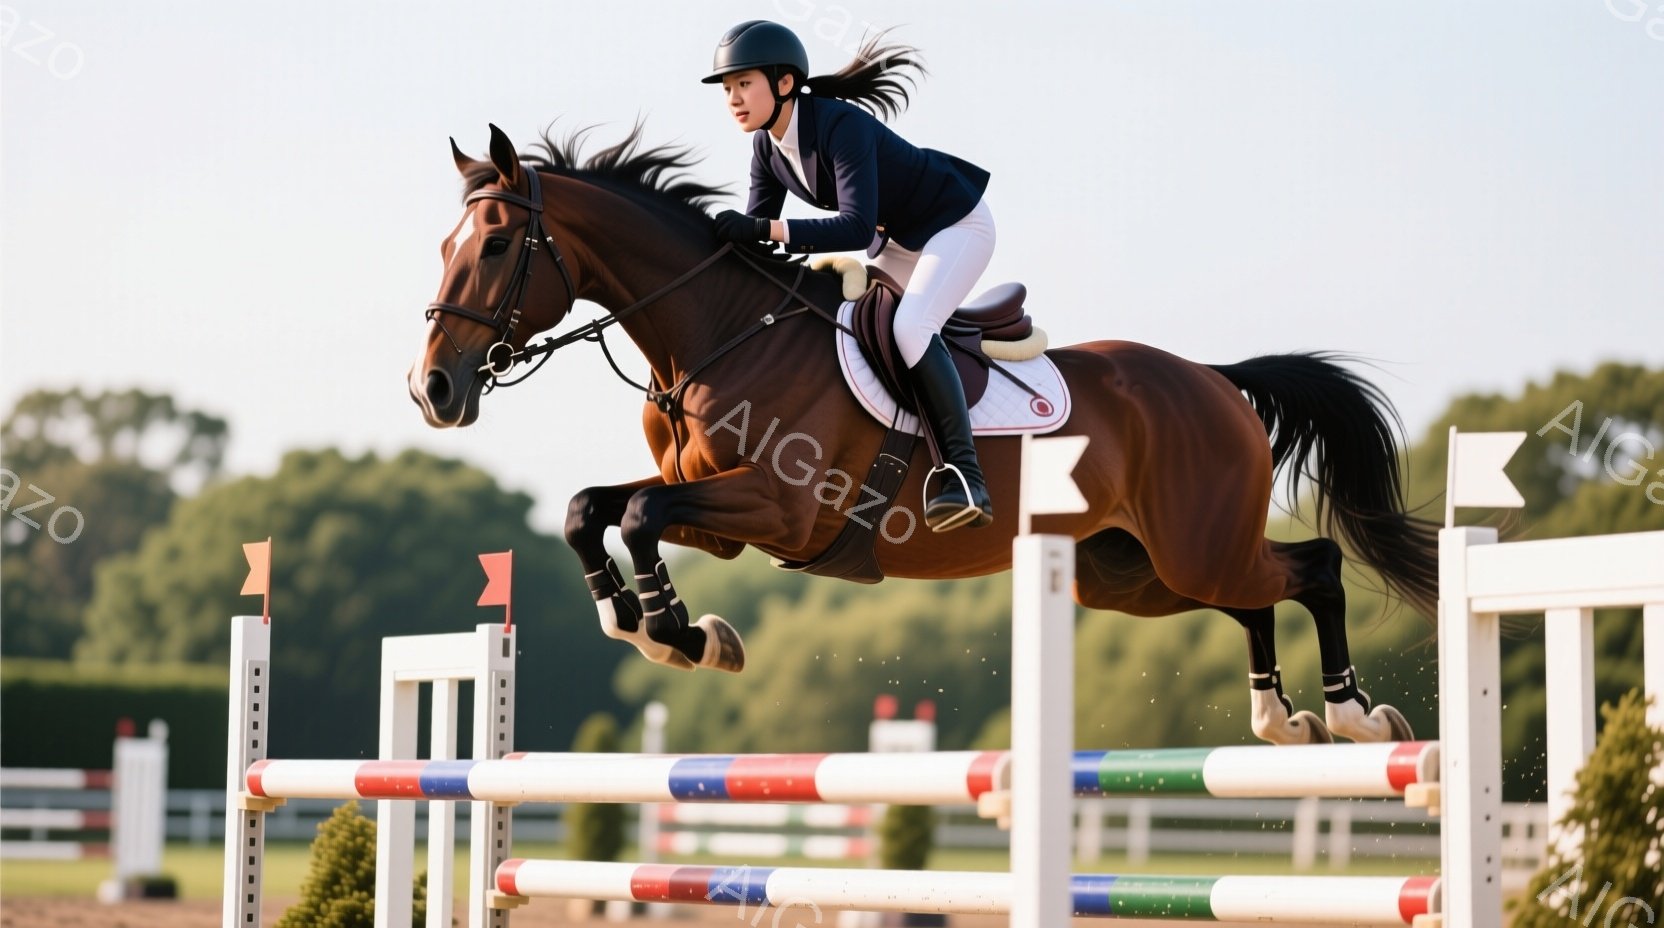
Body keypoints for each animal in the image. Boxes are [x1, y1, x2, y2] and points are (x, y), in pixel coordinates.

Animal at [409, 124, 1440, 745]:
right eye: (446, 247)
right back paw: (1282, 721)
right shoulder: (725, 517)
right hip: (1133, 571)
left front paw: (675, 631)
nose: (434, 390)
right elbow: (595, 508)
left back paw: (1354, 718)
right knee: (1258, 592)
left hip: (1187, 546)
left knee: (1312, 568)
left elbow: (637, 516)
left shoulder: (780, 510)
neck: (719, 332)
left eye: (495, 246)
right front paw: (659, 625)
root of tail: (1215, 380)